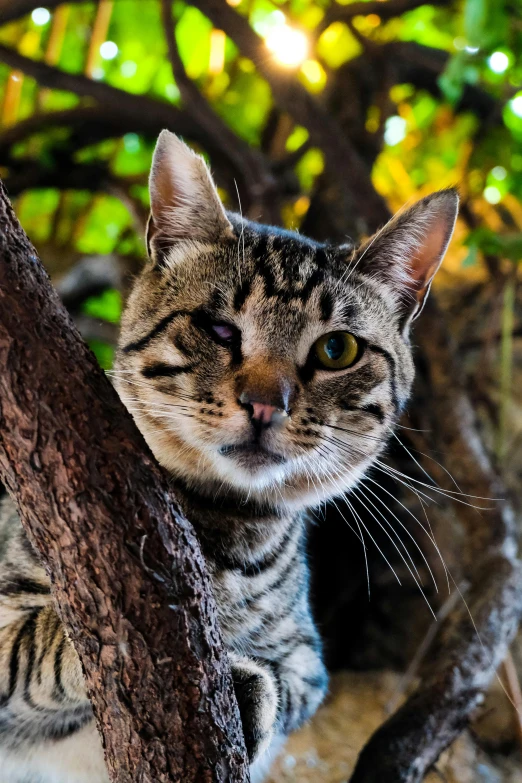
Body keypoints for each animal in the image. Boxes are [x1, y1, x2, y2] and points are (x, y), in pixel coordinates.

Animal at [0, 132, 456, 780]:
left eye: (336, 350)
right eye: (218, 329)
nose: (266, 404)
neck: (221, 534)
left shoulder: (307, 665)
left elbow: (281, 688)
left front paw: (249, 691)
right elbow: (39, 639)